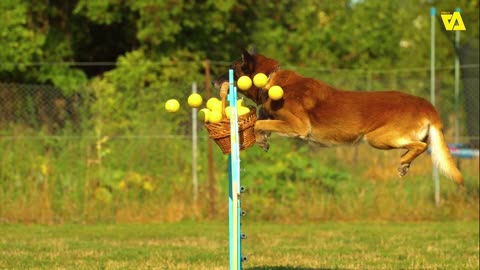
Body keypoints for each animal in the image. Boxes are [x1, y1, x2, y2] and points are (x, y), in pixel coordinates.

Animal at [216, 49, 464, 185]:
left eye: (232, 68)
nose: (215, 81)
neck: (270, 78)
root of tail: (426, 104)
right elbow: (262, 119)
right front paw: (262, 139)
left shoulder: (298, 125)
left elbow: (260, 122)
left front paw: (260, 137)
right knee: (420, 146)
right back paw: (405, 165)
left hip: (377, 138)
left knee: (421, 146)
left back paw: (403, 162)